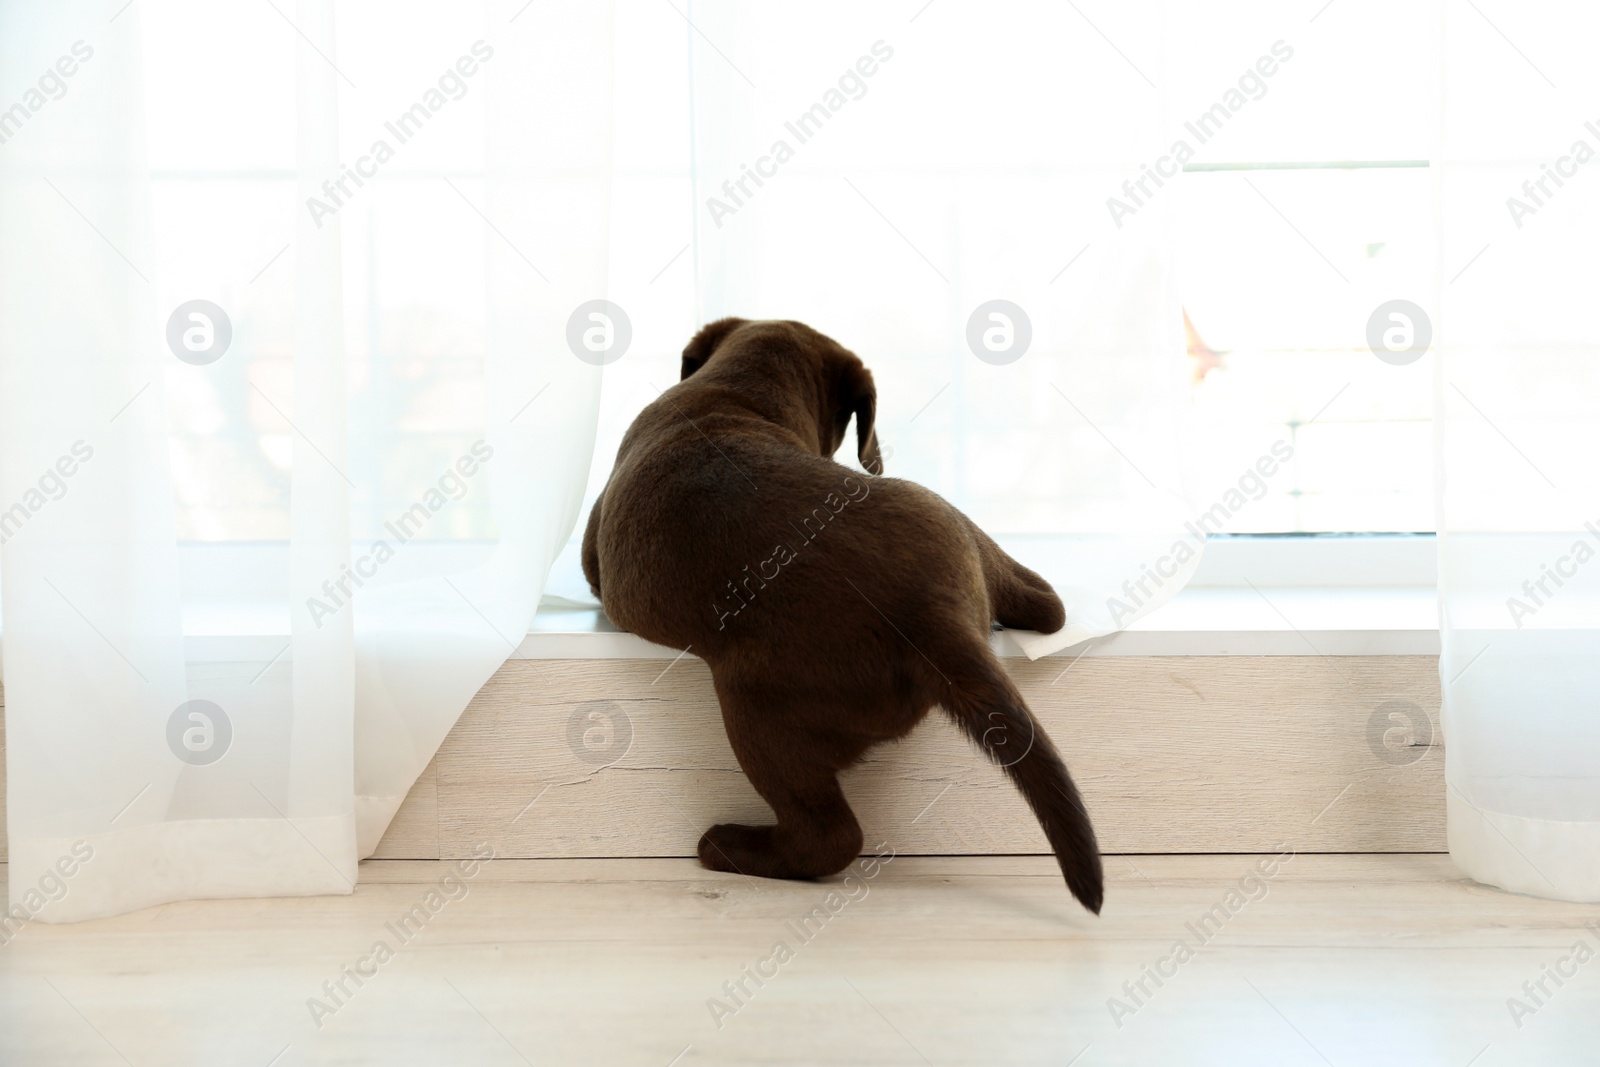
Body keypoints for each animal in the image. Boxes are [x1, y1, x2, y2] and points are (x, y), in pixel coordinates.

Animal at [582, 319, 1107, 921]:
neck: (738, 392)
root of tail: (933, 614)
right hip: (960, 528)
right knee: (1048, 603)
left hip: (758, 713)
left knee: (829, 836)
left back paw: (729, 847)